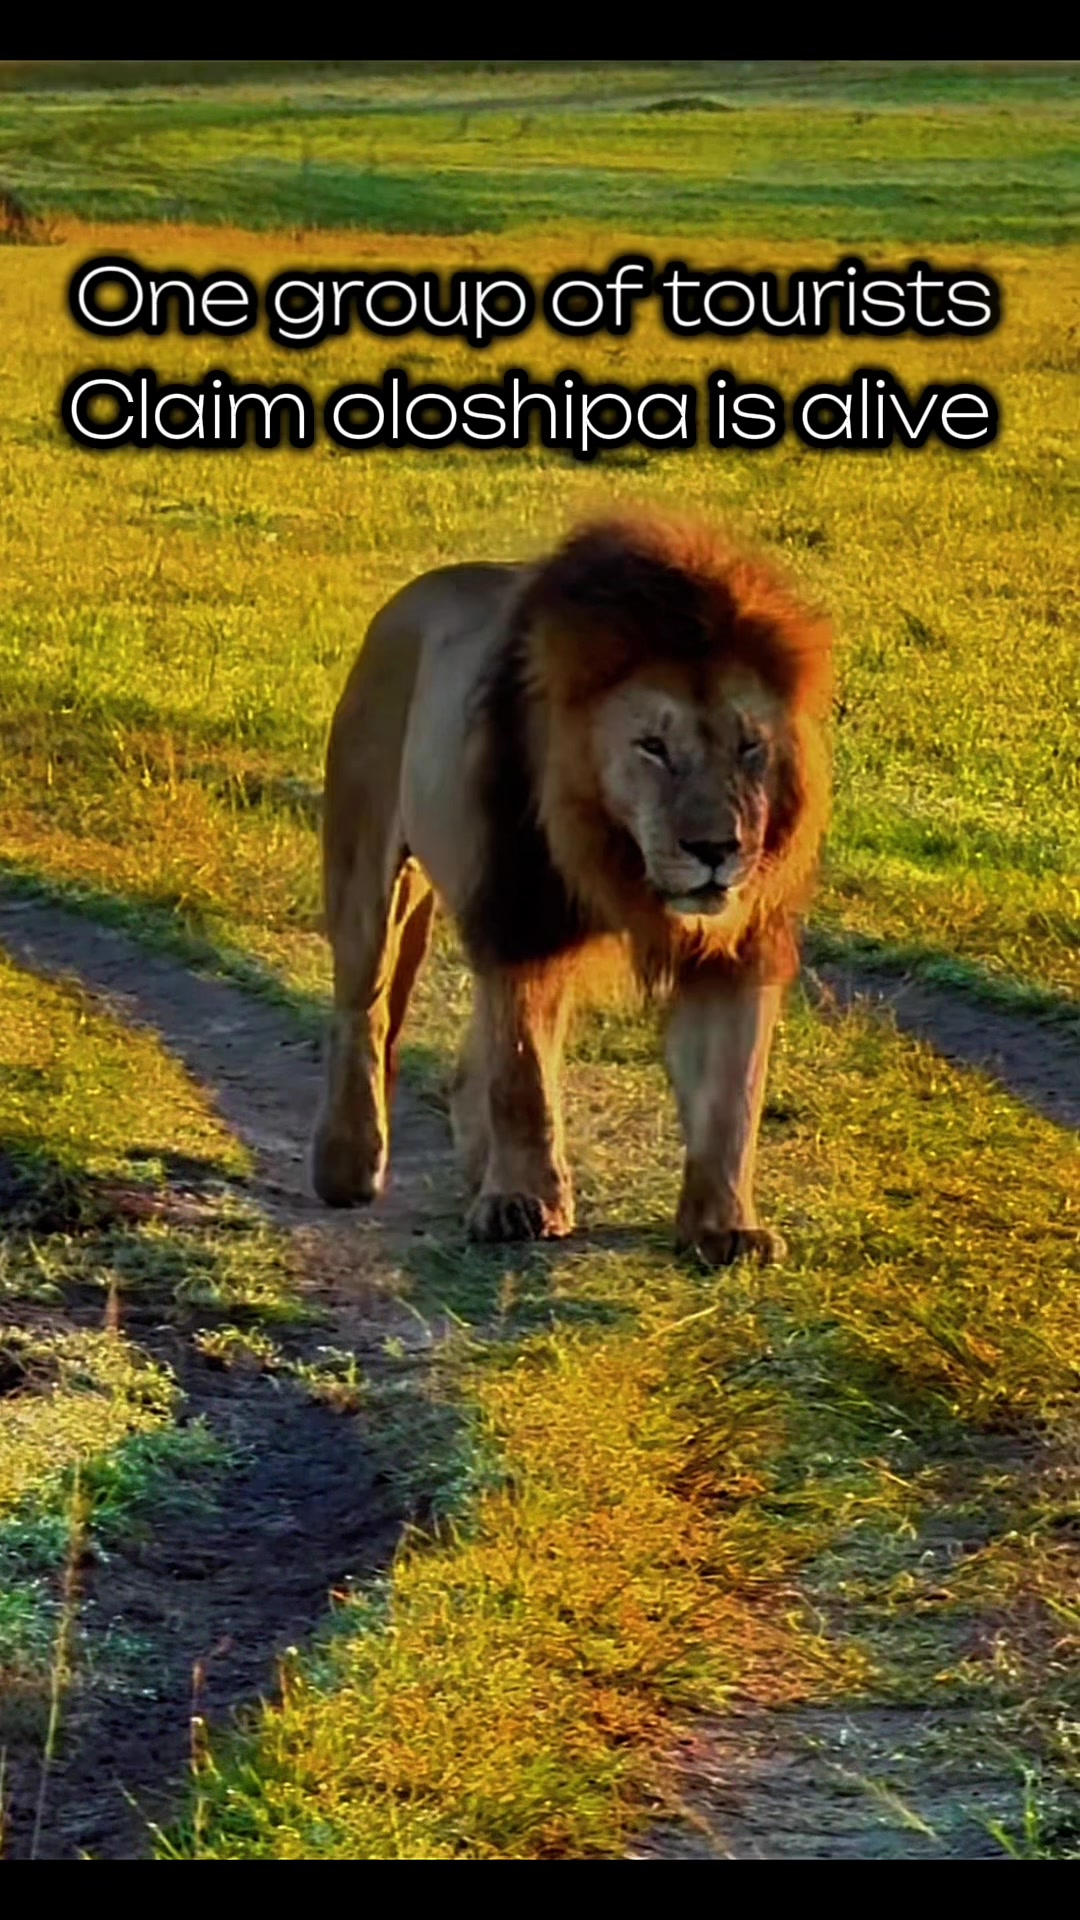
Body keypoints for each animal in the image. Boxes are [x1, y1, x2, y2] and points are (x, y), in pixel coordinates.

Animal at [311, 513, 832, 1266]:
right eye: (653, 746)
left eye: (749, 747)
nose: (716, 850)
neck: (616, 858)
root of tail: (405, 601)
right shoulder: (522, 917)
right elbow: (523, 1076)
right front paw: (524, 1203)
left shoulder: (735, 947)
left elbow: (730, 1094)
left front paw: (724, 1227)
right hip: (364, 874)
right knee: (364, 1012)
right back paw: (349, 1166)